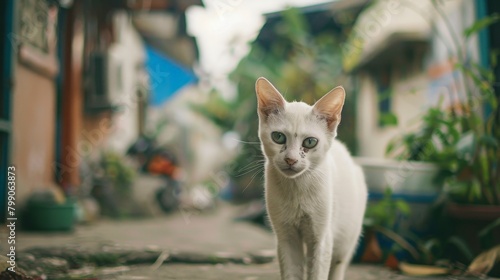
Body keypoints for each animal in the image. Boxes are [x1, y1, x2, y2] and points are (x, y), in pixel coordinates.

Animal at [254, 77, 368, 280]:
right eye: (278, 137)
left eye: (310, 142)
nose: (291, 159)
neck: (297, 189)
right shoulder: (286, 236)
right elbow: (291, 272)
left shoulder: (321, 237)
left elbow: (318, 272)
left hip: (346, 239)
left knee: (338, 265)